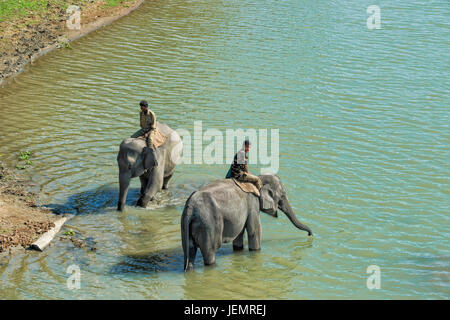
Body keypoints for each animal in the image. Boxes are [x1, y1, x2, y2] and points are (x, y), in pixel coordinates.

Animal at [179, 174, 312, 272]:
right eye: (283, 195)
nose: (310, 234)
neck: (258, 179)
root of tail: (190, 207)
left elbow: (239, 235)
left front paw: (239, 251)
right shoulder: (253, 204)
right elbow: (255, 230)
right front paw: (256, 252)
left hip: (186, 225)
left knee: (190, 251)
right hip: (209, 224)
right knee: (211, 250)